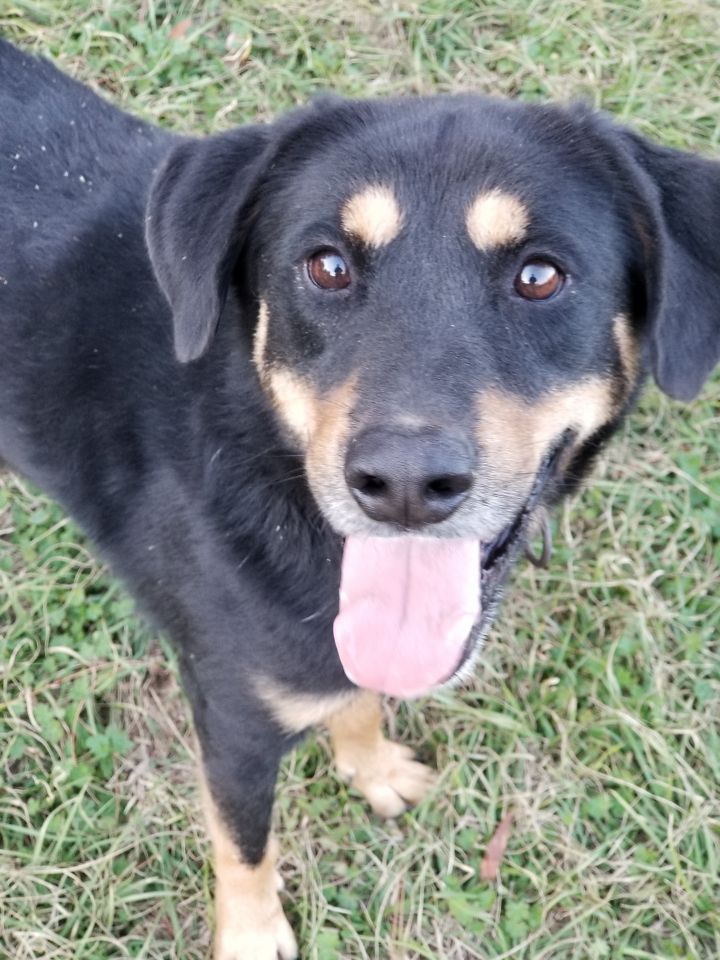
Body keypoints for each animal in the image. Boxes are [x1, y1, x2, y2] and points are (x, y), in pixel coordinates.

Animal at [1, 35, 720, 952]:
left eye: (540, 276)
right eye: (328, 266)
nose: (405, 485)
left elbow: (361, 692)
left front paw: (370, 763)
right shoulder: (233, 717)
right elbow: (242, 839)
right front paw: (249, 932)